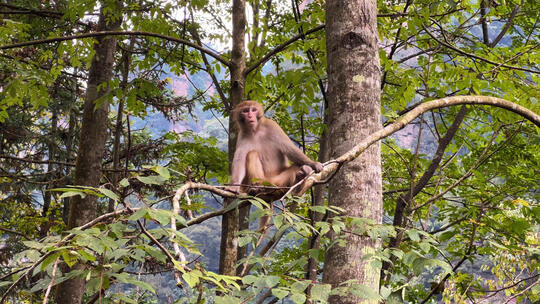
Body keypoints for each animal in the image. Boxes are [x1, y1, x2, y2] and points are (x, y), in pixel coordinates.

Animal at [227, 101, 322, 229]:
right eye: (246, 111)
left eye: (253, 110)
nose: (250, 116)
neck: (255, 130)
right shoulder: (242, 136)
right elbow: (240, 161)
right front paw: (234, 185)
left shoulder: (272, 126)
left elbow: (289, 149)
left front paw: (313, 164)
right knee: (252, 154)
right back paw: (257, 188)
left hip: (279, 181)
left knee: (295, 168)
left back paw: (301, 178)